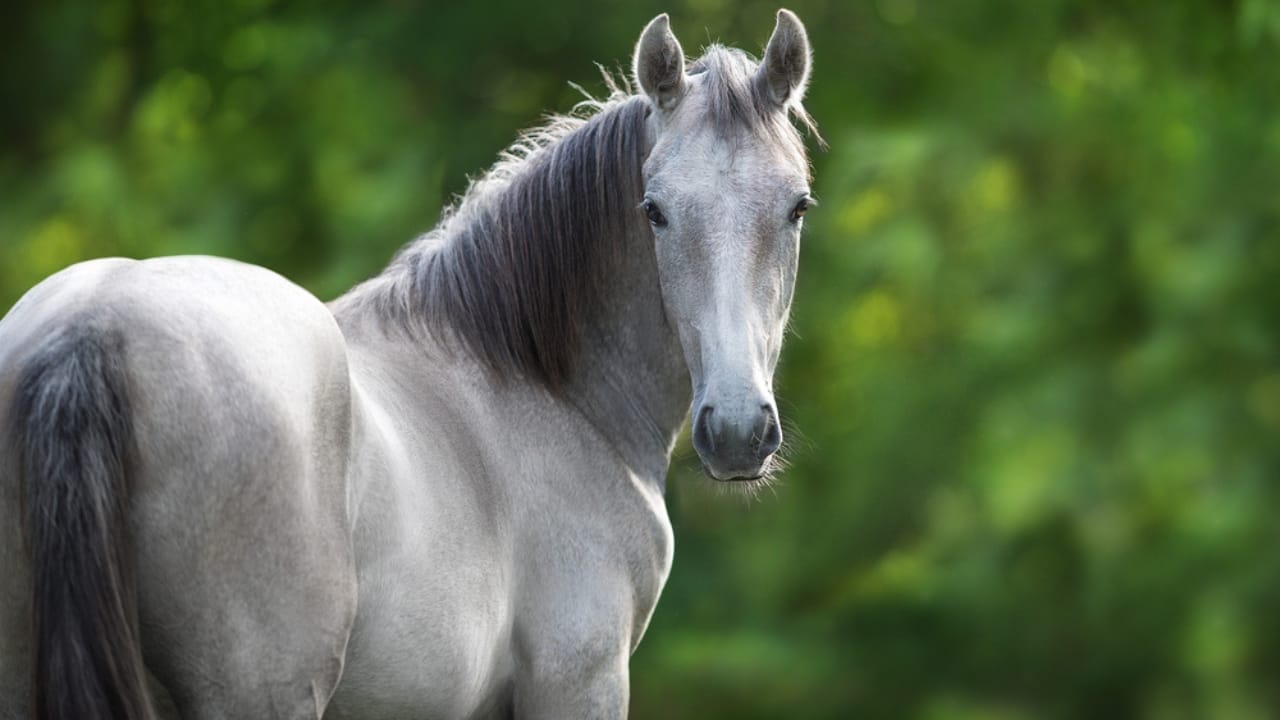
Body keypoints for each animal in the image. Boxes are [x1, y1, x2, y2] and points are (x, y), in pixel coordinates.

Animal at [0, 9, 817, 719]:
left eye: (797, 207)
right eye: (654, 210)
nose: (737, 430)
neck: (548, 388)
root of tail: (91, 327)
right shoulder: (578, 681)